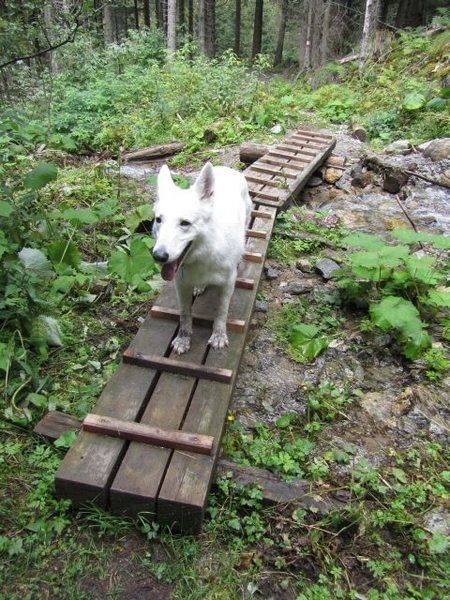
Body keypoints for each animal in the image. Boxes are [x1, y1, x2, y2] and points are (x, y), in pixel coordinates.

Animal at [152, 162, 251, 354]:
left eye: (185, 223)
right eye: (159, 220)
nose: (158, 256)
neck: (204, 254)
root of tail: (226, 168)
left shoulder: (228, 283)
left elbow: (221, 312)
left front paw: (219, 335)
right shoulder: (181, 284)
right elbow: (184, 314)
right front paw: (183, 338)